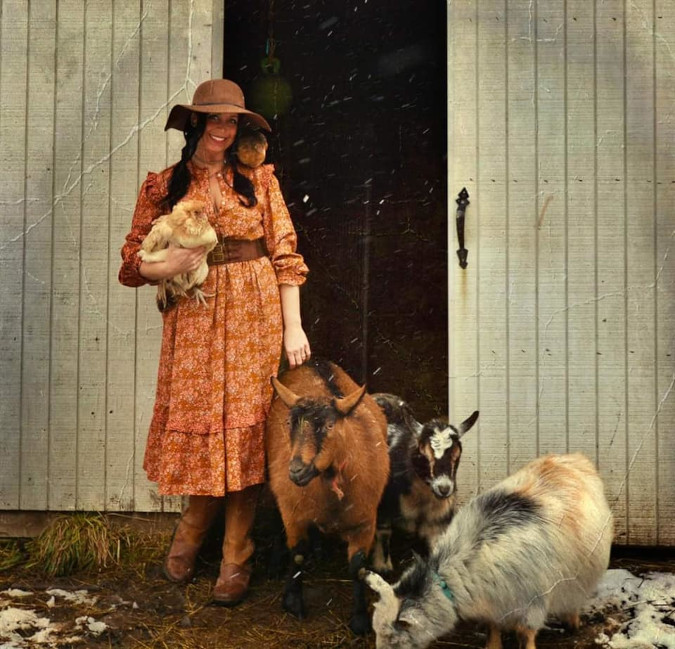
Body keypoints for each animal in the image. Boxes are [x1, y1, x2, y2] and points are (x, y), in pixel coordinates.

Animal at [266, 356, 388, 636]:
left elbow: (358, 568)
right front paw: (293, 602)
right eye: (289, 424)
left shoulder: (365, 523)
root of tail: (314, 360)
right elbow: (297, 554)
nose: (296, 470)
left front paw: (360, 620)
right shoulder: (293, 514)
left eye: (330, 425)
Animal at [368, 454, 616, 648]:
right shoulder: (493, 605)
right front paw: (492, 645)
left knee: (574, 597)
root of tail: (575, 458)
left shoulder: (532, 605)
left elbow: (525, 635)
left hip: (579, 575)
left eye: (393, 637)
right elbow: (492, 627)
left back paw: (572, 621)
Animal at [372, 392, 478, 576]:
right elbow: (383, 534)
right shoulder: (383, 508)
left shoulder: (437, 523)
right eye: (422, 453)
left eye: (457, 455)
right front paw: (382, 566)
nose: (444, 488)